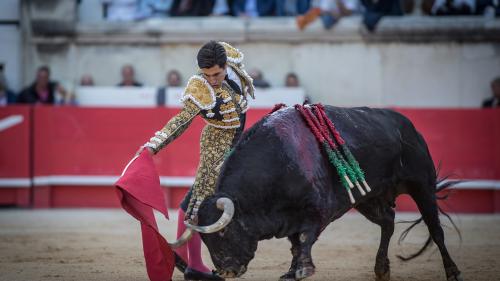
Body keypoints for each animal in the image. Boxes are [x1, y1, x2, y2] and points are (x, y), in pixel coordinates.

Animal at [174, 105, 462, 280]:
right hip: (367, 198)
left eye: (223, 233)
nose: (226, 271)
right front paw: (291, 271)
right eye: (205, 239)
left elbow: (304, 238)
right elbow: (294, 244)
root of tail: (406, 124)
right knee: (388, 222)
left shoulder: (318, 210)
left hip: (422, 185)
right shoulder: (290, 217)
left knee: (435, 230)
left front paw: (303, 269)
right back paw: (381, 269)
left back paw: (452, 271)